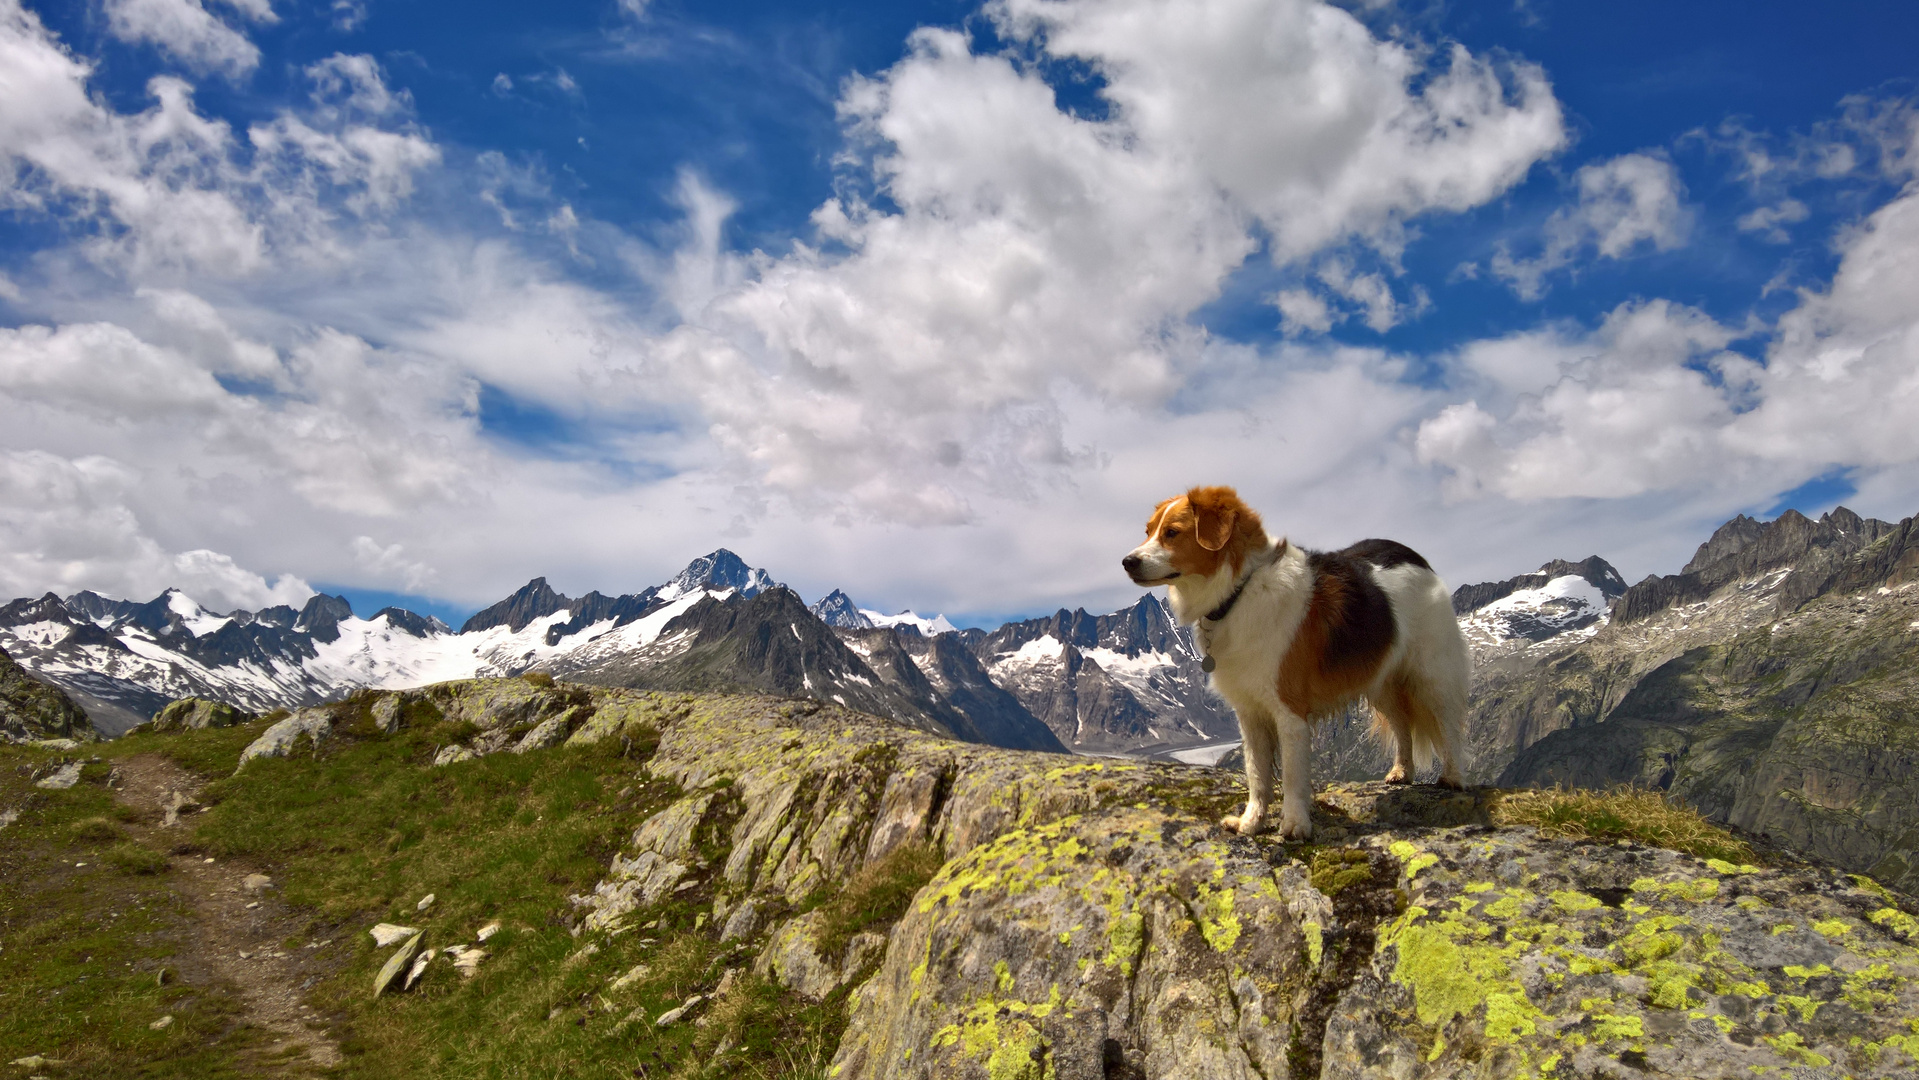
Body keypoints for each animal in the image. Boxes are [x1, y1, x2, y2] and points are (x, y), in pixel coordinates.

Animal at [1120, 485, 1466, 840]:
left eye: (1172, 533)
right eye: (1148, 531)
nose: (1127, 562)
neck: (1239, 591)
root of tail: (1413, 555)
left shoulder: (1289, 712)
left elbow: (1291, 775)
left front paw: (1295, 824)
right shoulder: (1250, 714)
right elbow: (1257, 774)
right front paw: (1251, 823)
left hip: (1432, 675)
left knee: (1449, 725)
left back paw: (1453, 777)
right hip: (1381, 679)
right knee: (1402, 725)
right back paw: (1402, 771)